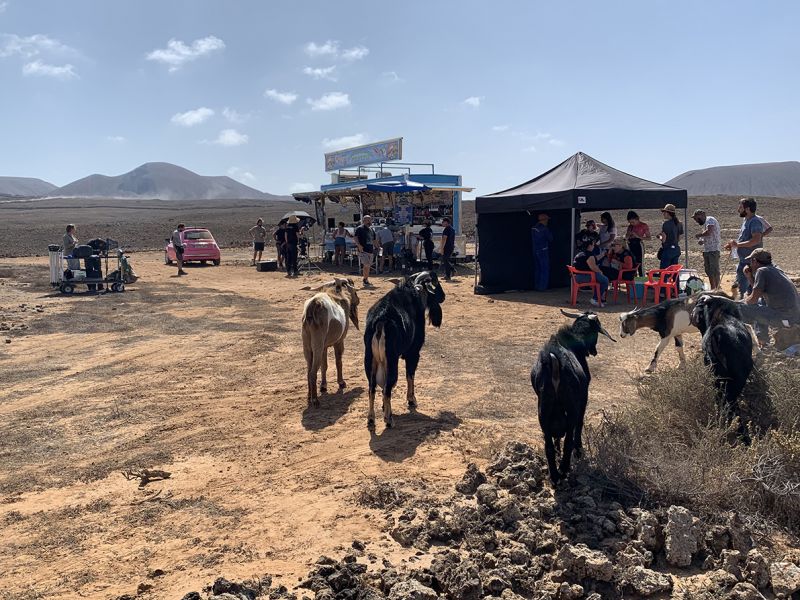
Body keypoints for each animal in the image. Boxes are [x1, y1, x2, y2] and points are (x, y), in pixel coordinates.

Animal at [362, 270, 444, 428]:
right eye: (435, 284)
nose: (443, 296)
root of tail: (380, 321)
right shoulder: (413, 353)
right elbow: (410, 375)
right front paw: (412, 400)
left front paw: (384, 406)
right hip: (391, 360)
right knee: (388, 387)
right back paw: (388, 419)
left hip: (370, 361)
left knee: (372, 388)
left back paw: (371, 418)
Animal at [536, 310, 616, 482]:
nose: (594, 351)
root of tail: (554, 361)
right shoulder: (584, 396)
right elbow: (580, 423)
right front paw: (579, 449)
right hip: (571, 406)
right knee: (569, 438)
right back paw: (564, 468)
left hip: (543, 410)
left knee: (549, 446)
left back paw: (555, 475)